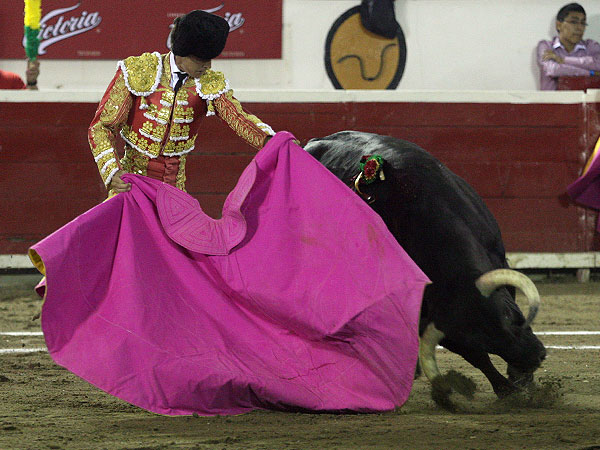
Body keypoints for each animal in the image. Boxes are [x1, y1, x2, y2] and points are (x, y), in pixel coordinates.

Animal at [308, 131, 548, 408]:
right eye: (483, 337)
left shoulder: (498, 260)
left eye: (514, 320)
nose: (537, 356)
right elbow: (478, 357)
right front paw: (507, 389)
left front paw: (521, 381)